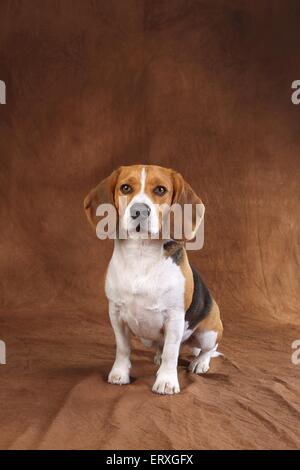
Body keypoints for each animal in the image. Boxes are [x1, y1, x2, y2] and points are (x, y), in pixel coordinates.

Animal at [84, 164, 223, 392]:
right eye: (125, 187)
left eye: (160, 190)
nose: (139, 211)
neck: (141, 254)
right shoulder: (115, 312)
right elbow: (123, 348)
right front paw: (119, 373)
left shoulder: (174, 317)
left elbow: (171, 353)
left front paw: (166, 381)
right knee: (160, 346)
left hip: (208, 332)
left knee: (208, 349)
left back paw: (200, 362)